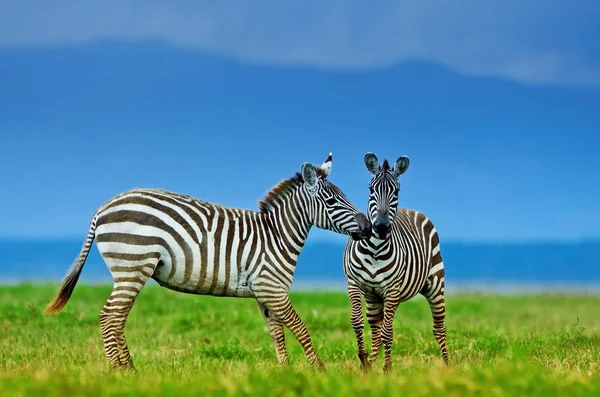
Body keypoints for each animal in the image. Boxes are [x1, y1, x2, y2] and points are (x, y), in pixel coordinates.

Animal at [44, 153, 370, 370]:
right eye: (332, 202)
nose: (369, 227)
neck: (276, 235)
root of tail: (103, 207)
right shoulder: (272, 287)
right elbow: (300, 328)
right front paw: (319, 371)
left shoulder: (265, 292)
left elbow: (277, 332)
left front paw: (284, 372)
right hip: (132, 264)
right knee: (109, 316)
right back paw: (121, 372)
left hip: (129, 270)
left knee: (115, 317)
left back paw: (129, 369)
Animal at [344, 152, 448, 372]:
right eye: (371, 189)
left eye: (396, 191)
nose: (381, 226)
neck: (375, 249)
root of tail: (411, 210)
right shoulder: (354, 284)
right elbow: (357, 322)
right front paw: (364, 361)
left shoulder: (392, 289)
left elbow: (388, 332)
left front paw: (387, 368)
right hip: (375, 297)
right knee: (376, 328)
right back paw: (371, 363)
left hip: (434, 284)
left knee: (438, 327)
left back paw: (448, 365)